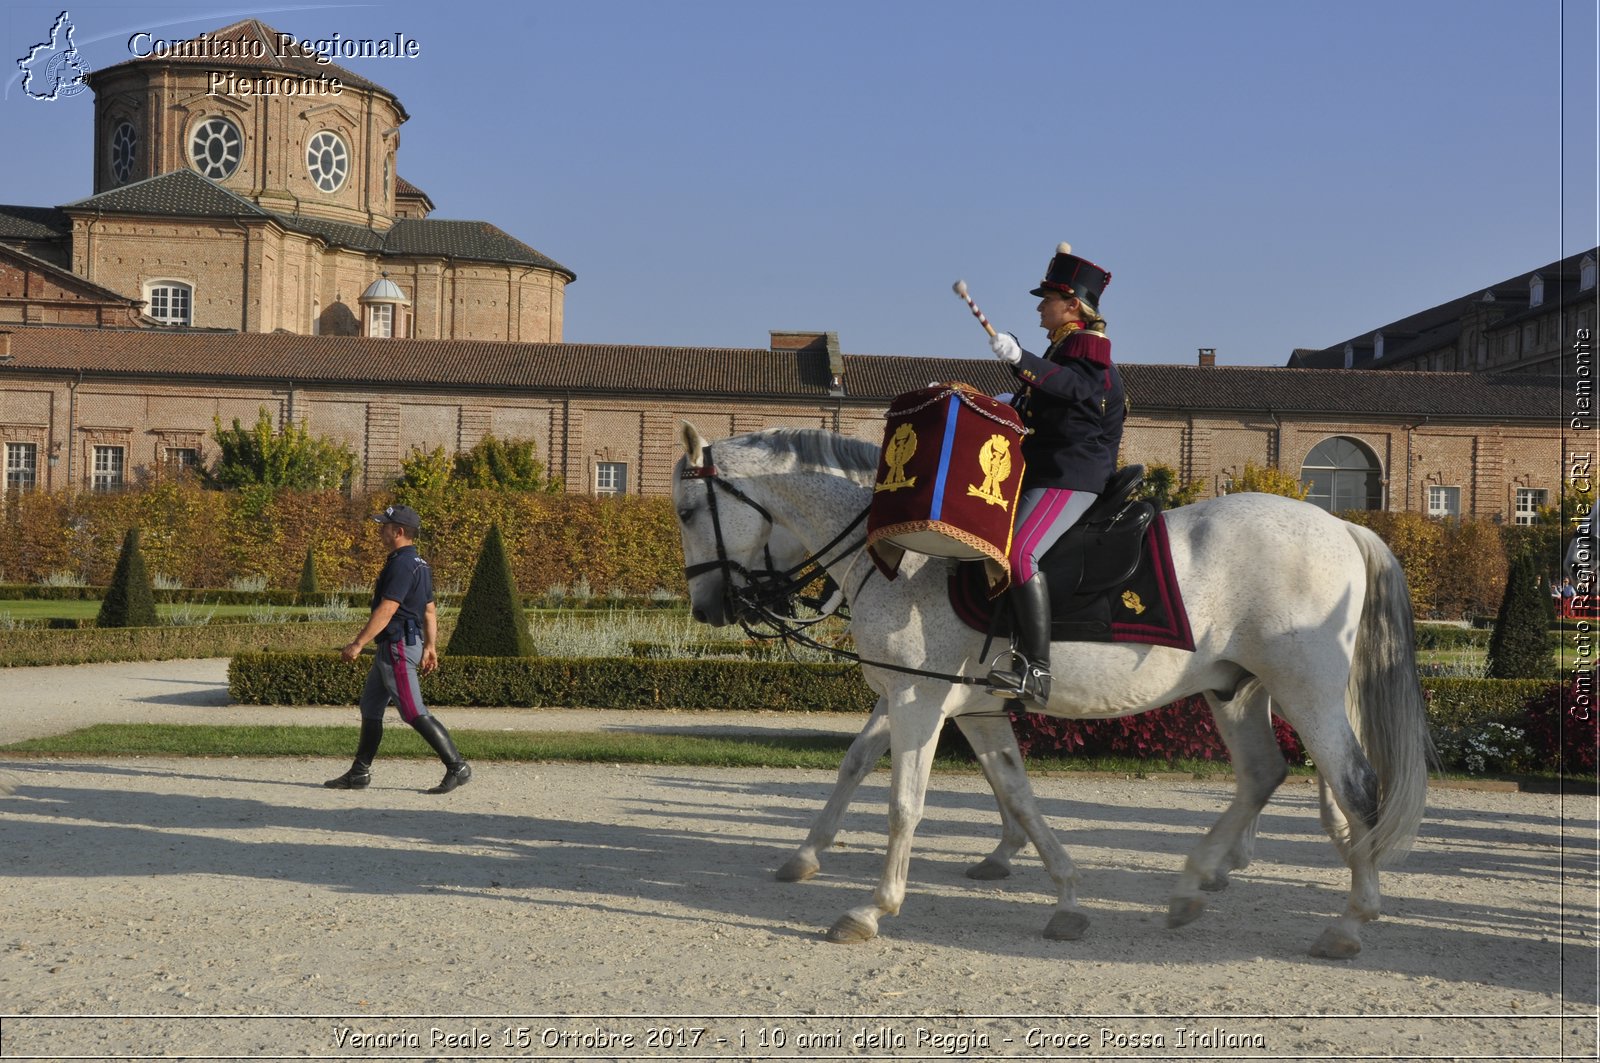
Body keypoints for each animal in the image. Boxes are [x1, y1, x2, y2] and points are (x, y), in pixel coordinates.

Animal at [678, 425, 1440, 960]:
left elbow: (902, 804)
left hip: (1306, 691)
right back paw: (1192, 886)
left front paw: (871, 908)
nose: (708, 607)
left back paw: (1350, 921)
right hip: (1236, 691)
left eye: (686, 510)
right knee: (1263, 773)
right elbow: (1014, 794)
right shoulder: (970, 708)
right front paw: (1065, 896)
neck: (909, 555)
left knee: (1357, 785)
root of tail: (1341, 522)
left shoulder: (917, 702)